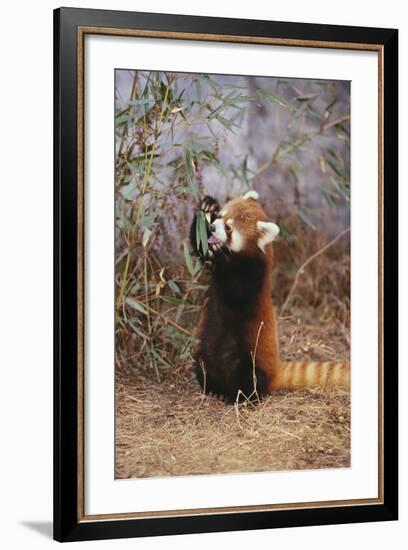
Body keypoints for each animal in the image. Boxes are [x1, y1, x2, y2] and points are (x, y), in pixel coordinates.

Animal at [190, 193, 350, 406]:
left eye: (229, 228)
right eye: (221, 216)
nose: (214, 226)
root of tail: (275, 371)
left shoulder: (256, 274)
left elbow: (236, 290)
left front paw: (219, 257)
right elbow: (199, 245)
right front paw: (207, 208)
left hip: (250, 360)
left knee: (248, 378)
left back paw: (240, 398)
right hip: (205, 350)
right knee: (202, 365)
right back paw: (214, 389)